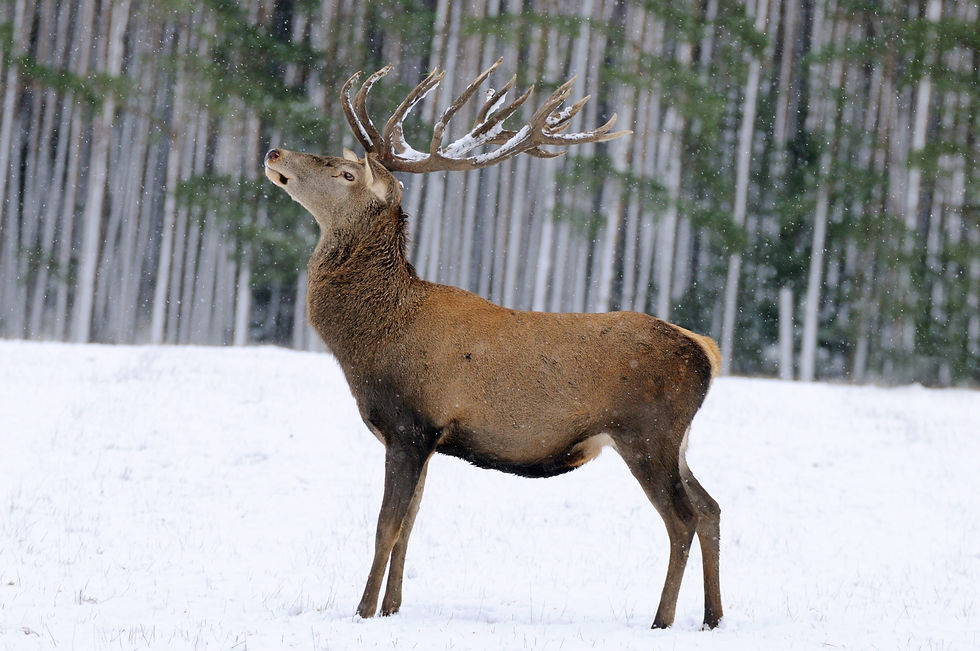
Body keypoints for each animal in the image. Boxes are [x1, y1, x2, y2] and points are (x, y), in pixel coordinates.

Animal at [263, 58, 723, 630]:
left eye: (345, 173)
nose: (274, 153)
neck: (369, 338)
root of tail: (705, 350)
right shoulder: (424, 438)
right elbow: (410, 524)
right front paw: (392, 609)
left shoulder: (410, 423)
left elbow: (386, 525)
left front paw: (363, 611)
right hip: (675, 440)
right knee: (710, 509)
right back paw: (713, 617)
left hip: (647, 431)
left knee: (681, 519)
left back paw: (661, 620)